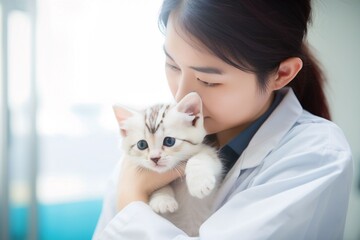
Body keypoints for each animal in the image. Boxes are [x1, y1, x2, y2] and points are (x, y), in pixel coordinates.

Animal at [114, 92, 224, 236]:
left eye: (169, 141)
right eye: (142, 145)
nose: (154, 158)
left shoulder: (211, 155)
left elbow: (198, 158)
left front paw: (199, 183)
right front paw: (162, 199)